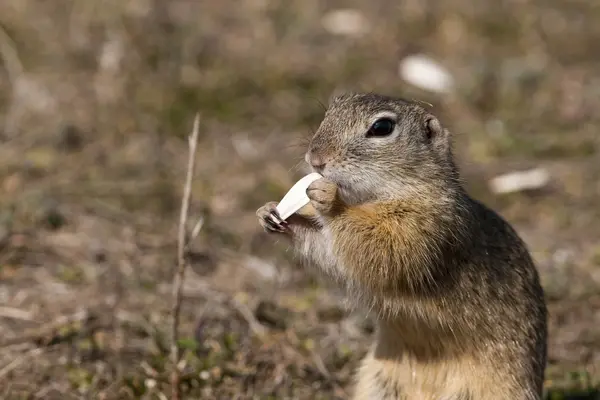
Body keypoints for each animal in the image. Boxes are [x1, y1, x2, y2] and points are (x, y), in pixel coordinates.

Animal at [255, 92, 548, 398]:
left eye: (382, 127)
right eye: (332, 108)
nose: (315, 158)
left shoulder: (425, 229)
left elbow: (383, 250)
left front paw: (330, 200)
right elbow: (330, 250)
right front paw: (270, 213)